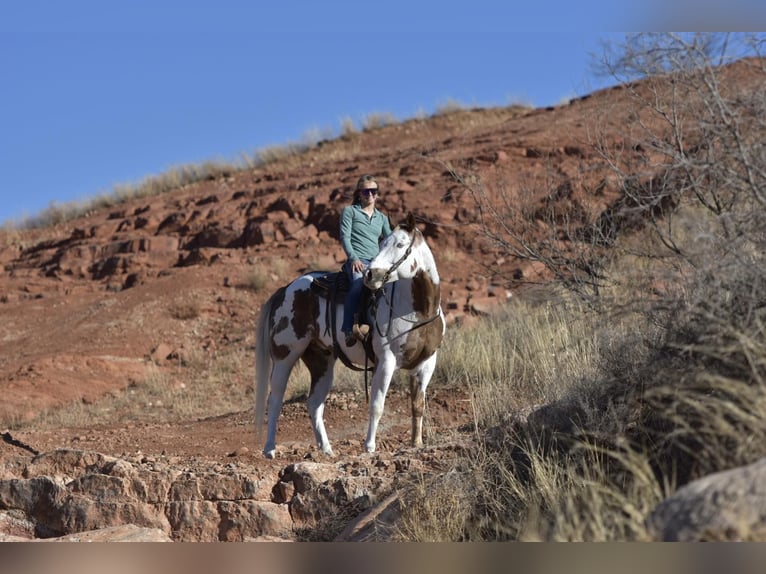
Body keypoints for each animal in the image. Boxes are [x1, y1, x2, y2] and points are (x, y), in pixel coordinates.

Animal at [255, 213, 448, 460]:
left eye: (400, 245)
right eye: (382, 244)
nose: (370, 275)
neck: (417, 310)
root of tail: (285, 289)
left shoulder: (426, 363)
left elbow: (417, 405)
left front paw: (416, 443)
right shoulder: (386, 361)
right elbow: (377, 405)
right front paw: (370, 447)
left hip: (321, 362)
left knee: (314, 404)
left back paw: (327, 450)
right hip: (285, 355)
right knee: (276, 398)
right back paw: (270, 448)